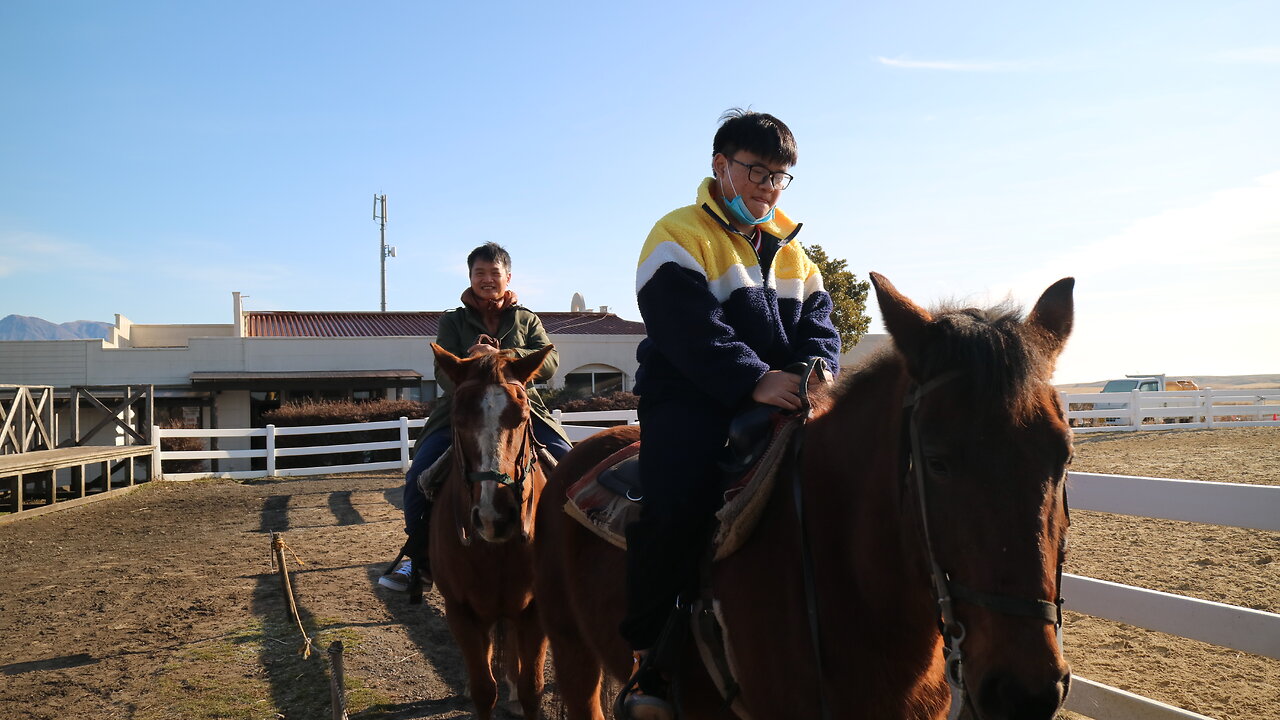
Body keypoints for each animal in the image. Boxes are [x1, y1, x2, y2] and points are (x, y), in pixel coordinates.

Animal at [427, 340, 552, 717]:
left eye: (523, 416)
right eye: (457, 418)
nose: (493, 516)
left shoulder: (533, 611)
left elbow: (532, 688)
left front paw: (520, 694)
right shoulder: (461, 613)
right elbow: (484, 690)